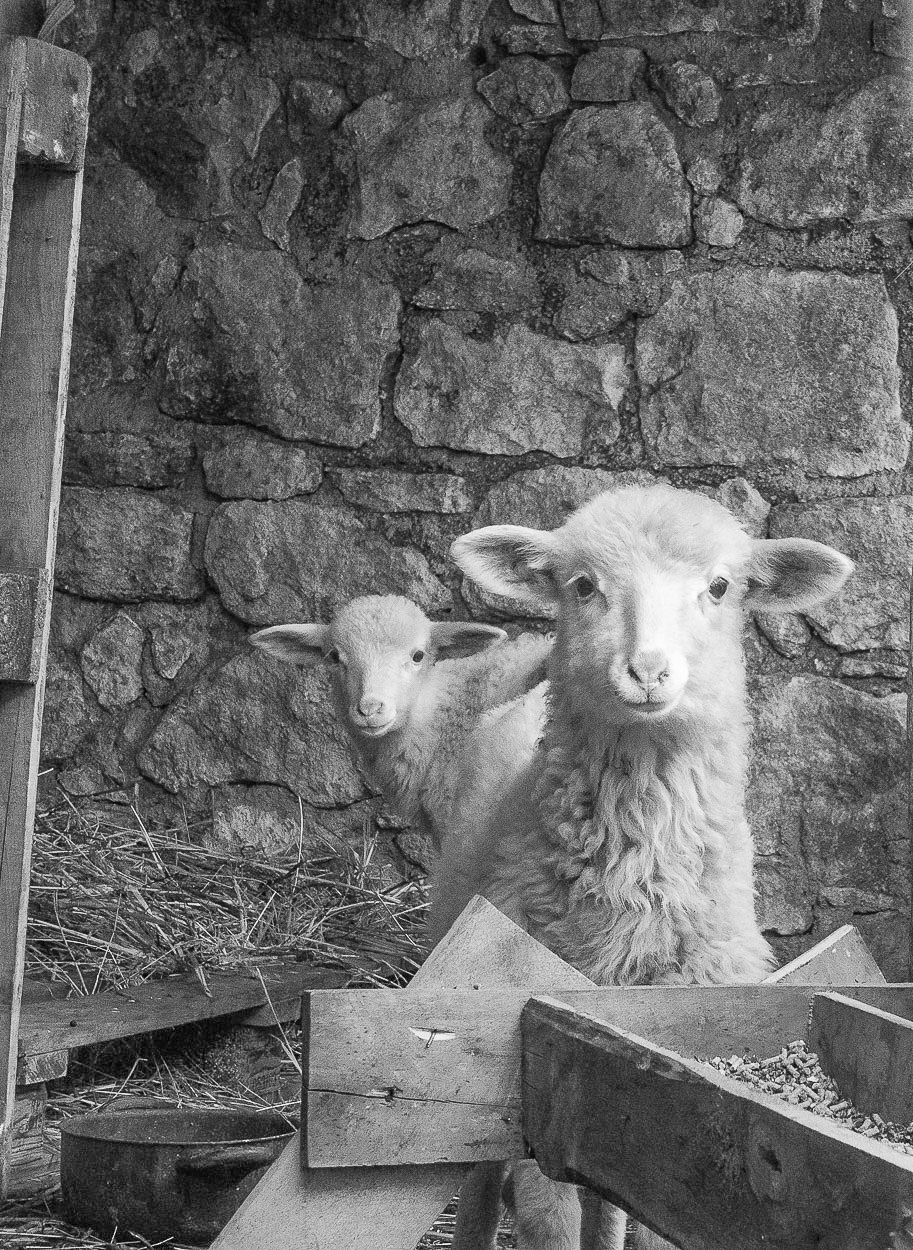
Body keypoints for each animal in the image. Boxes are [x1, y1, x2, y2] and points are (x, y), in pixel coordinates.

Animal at [443, 483, 853, 1250]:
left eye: (719, 587)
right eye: (582, 586)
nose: (649, 671)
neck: (638, 893)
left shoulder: (660, 1063)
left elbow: (642, 1209)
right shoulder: (538, 1062)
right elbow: (548, 1214)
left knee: (608, 1205)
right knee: (479, 1180)